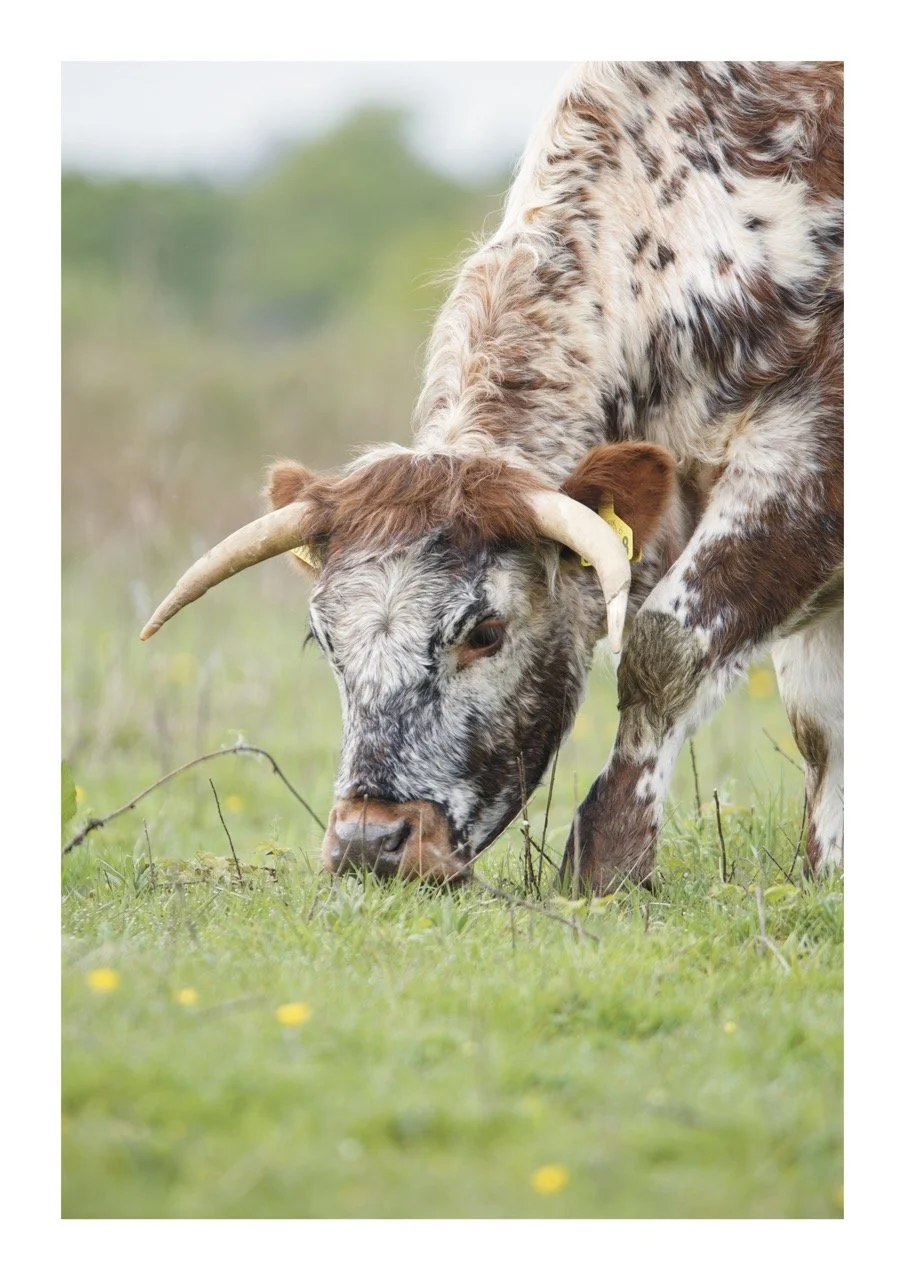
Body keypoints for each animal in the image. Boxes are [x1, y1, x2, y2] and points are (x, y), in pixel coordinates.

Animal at [141, 61, 843, 894]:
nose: (370, 841)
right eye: (324, 640)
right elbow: (819, 719)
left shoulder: (802, 463)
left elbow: (665, 649)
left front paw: (609, 857)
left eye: (485, 631)